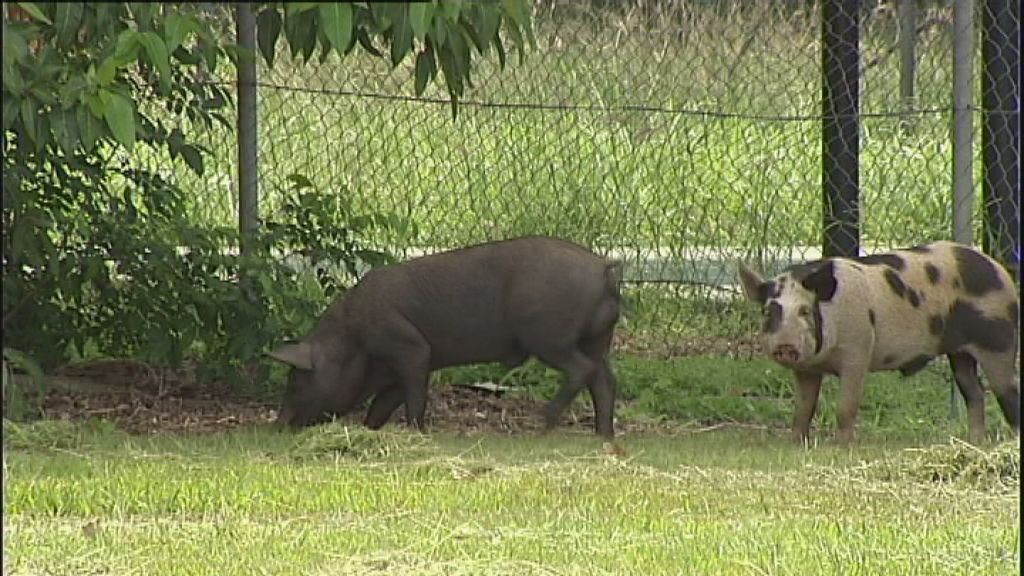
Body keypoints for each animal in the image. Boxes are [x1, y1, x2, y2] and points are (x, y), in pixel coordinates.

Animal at [268, 236, 623, 438]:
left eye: (297, 380)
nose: (278, 425)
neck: (352, 341)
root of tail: (602, 267)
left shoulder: (411, 349)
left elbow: (414, 397)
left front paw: (416, 432)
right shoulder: (399, 369)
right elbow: (383, 403)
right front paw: (370, 429)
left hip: (549, 337)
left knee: (583, 370)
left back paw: (543, 426)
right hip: (597, 339)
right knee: (604, 379)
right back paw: (602, 435)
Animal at [737, 241, 1019, 444]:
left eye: (805, 311)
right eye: (768, 312)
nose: (785, 345)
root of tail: (1001, 272)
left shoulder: (858, 352)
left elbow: (846, 406)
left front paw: (841, 446)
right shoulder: (806, 370)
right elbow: (803, 408)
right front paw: (796, 443)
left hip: (999, 342)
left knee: (1008, 392)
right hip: (959, 354)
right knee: (975, 393)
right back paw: (975, 443)